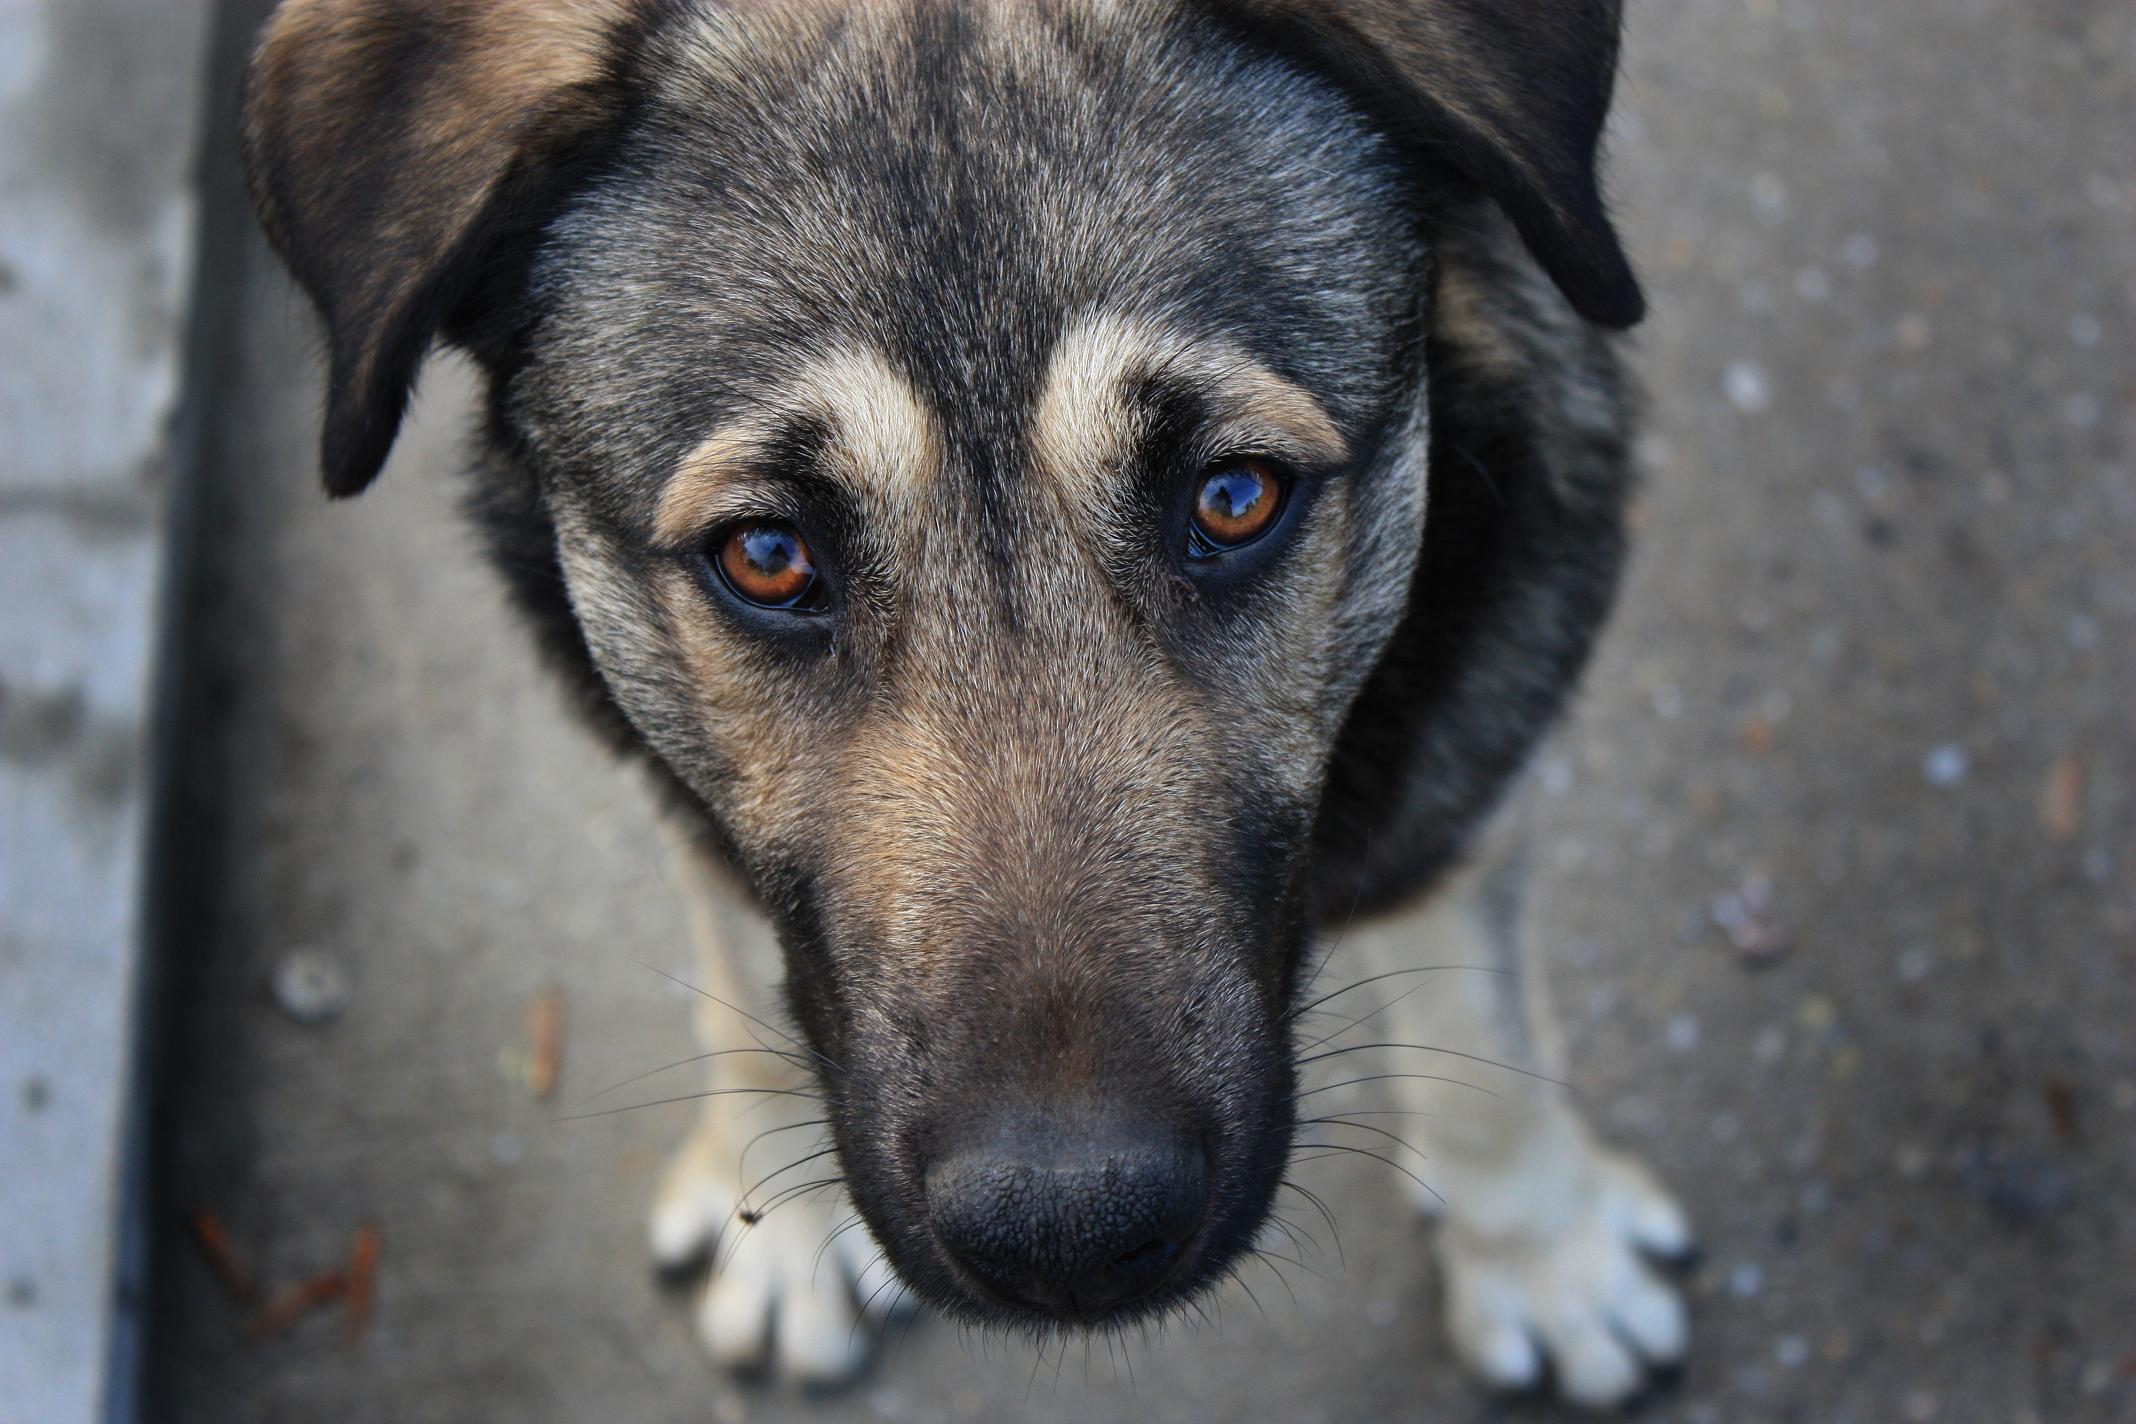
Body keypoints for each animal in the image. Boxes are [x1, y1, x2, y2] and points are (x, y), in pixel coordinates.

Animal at [242, 0, 1691, 1400]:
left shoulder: (1472, 740)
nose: (1072, 1233)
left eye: (1235, 497)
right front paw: (782, 1214)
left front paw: (1542, 1249)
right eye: (766, 556)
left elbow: (1483, 1017)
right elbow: (744, 968)